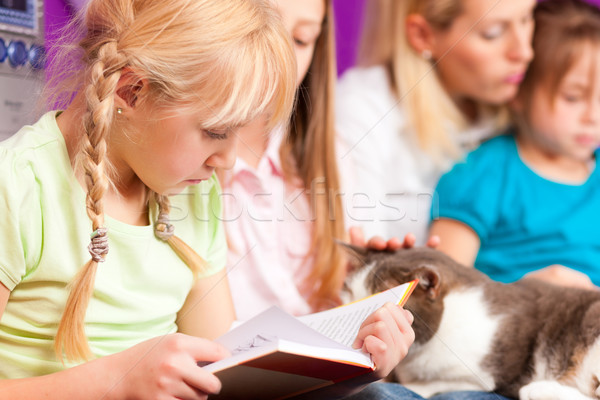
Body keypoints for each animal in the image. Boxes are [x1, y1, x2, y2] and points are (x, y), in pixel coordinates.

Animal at [340, 245, 600, 398]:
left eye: (381, 300)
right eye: (349, 292)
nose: (353, 314)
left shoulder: (486, 376)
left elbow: (426, 386)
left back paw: (539, 390)